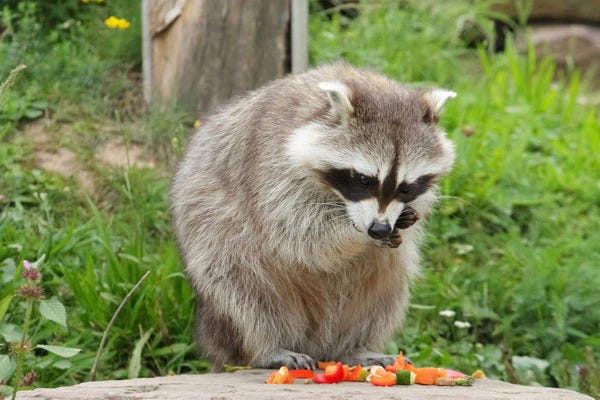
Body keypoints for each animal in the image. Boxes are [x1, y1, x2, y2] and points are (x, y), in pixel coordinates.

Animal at [171, 62, 458, 372]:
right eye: (363, 179)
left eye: (406, 187)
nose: (379, 229)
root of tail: (317, 344)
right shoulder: (272, 167)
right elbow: (301, 237)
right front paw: (353, 234)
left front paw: (401, 219)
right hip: (213, 231)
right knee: (241, 288)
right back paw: (266, 346)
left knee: (386, 287)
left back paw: (354, 347)